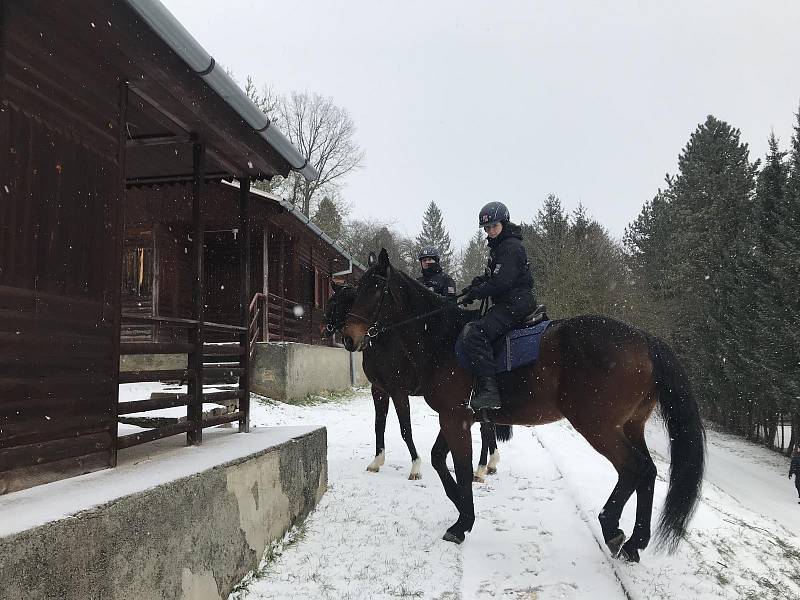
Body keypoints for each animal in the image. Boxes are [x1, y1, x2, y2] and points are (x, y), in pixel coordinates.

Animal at [340, 248, 704, 564]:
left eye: (374, 290)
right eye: (354, 291)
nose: (347, 338)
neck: (442, 339)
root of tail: (643, 338)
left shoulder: (453, 418)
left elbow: (459, 467)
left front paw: (462, 523)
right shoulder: (459, 418)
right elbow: (439, 461)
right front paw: (461, 508)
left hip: (598, 427)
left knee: (634, 468)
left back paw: (612, 528)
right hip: (629, 425)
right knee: (649, 472)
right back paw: (635, 542)